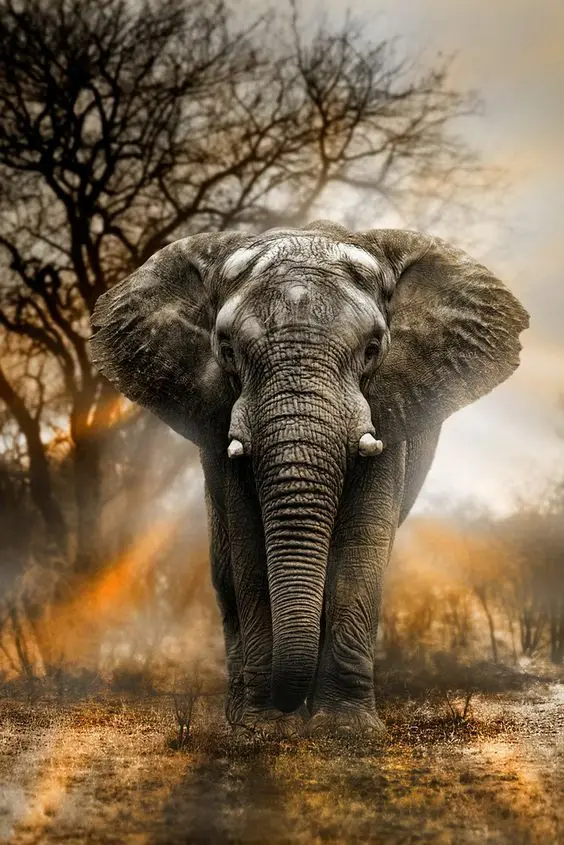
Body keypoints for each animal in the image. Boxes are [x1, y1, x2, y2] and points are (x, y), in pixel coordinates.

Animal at [90, 220, 528, 736]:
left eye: (373, 349)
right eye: (227, 350)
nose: (284, 708)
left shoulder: (388, 410)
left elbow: (361, 546)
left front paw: (345, 731)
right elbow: (249, 548)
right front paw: (262, 730)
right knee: (224, 572)